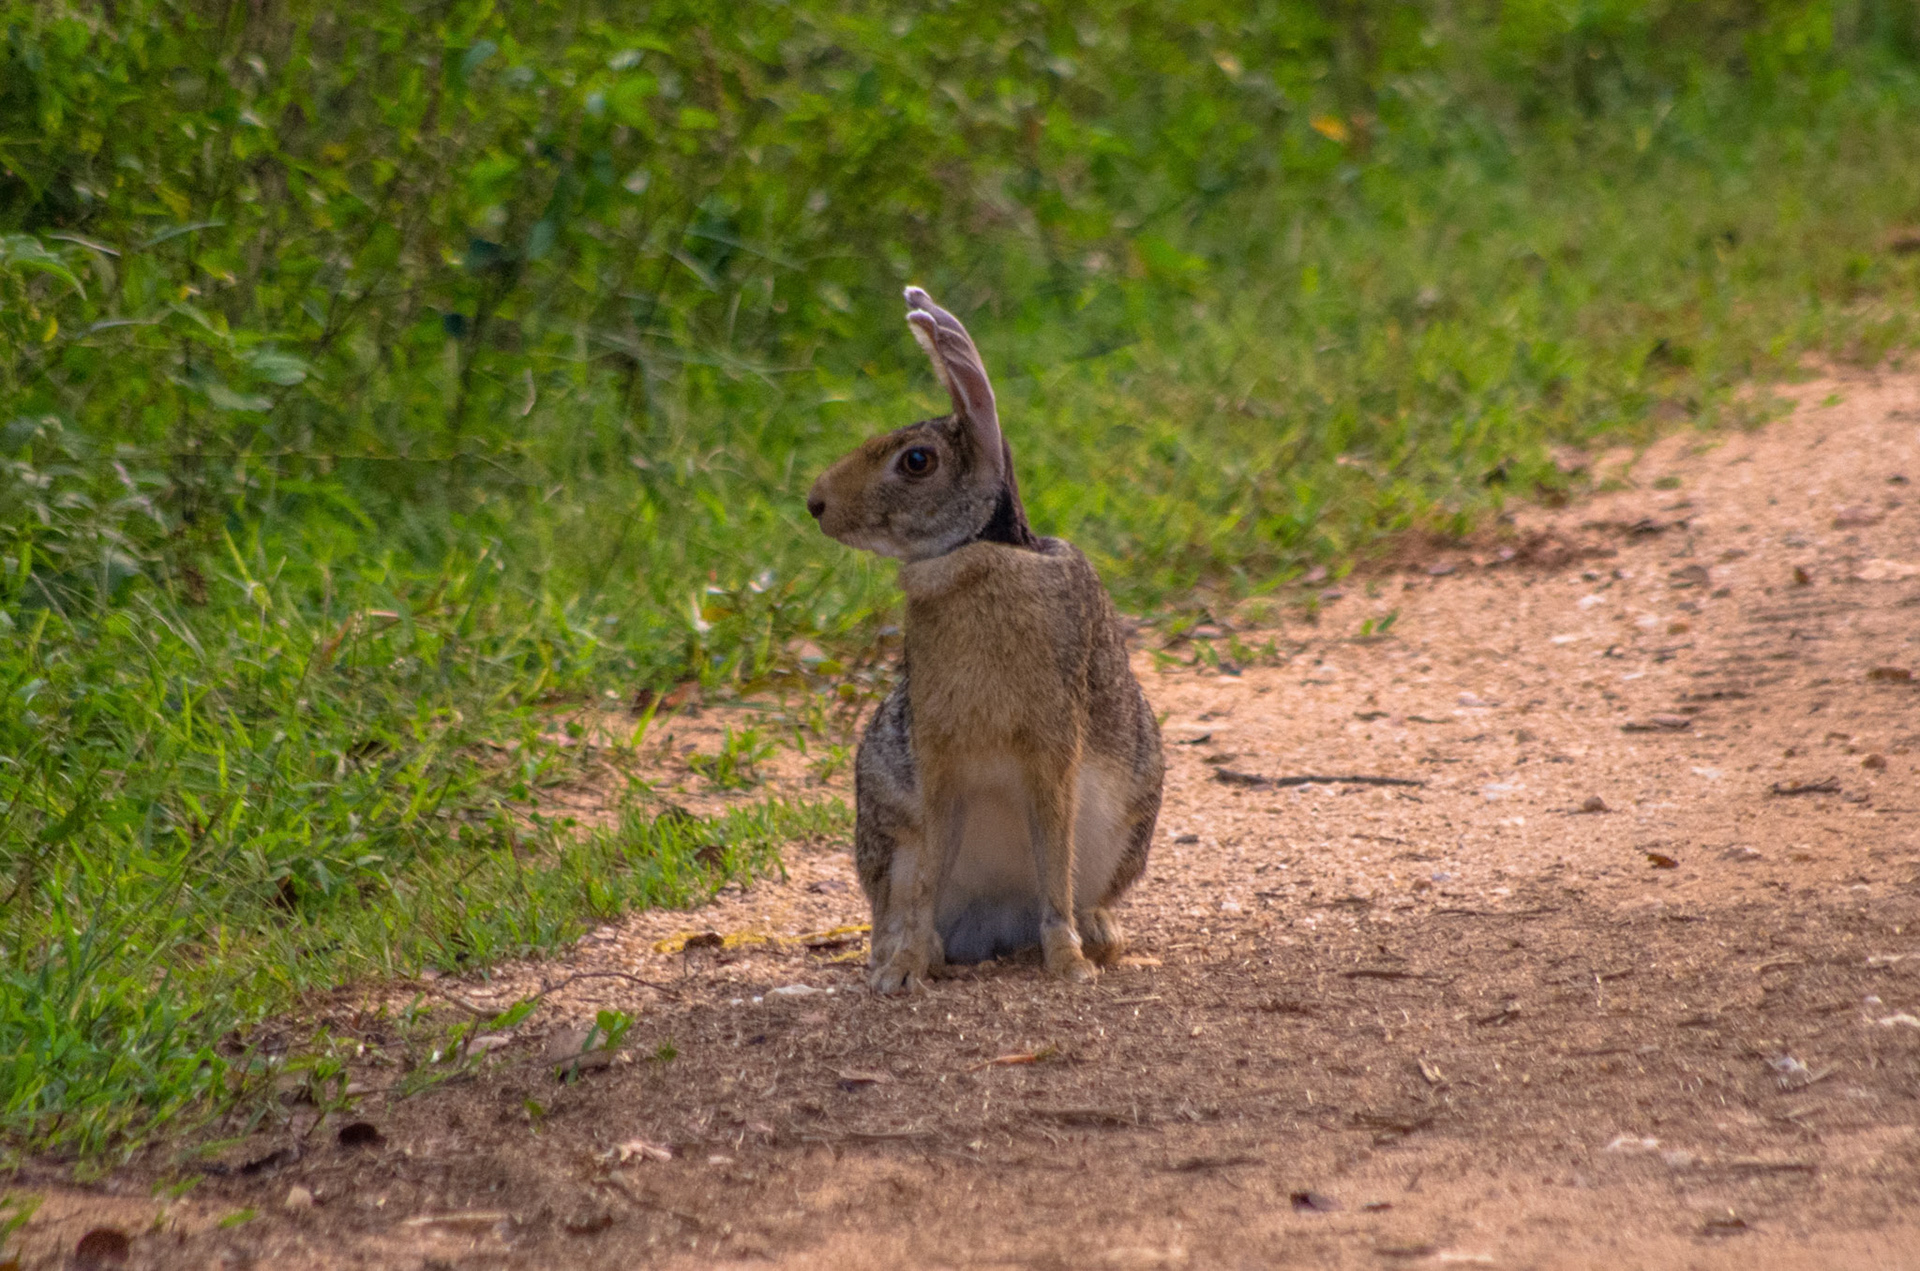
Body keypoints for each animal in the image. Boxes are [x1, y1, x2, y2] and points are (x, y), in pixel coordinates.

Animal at [805, 286, 1165, 994]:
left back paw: (1097, 937)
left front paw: (1069, 966)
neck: (977, 552)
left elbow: (1053, 856)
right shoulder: (939, 759)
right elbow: (930, 874)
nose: (816, 504)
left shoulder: (1051, 749)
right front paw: (902, 972)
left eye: (917, 460)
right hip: (889, 828)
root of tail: (996, 919)